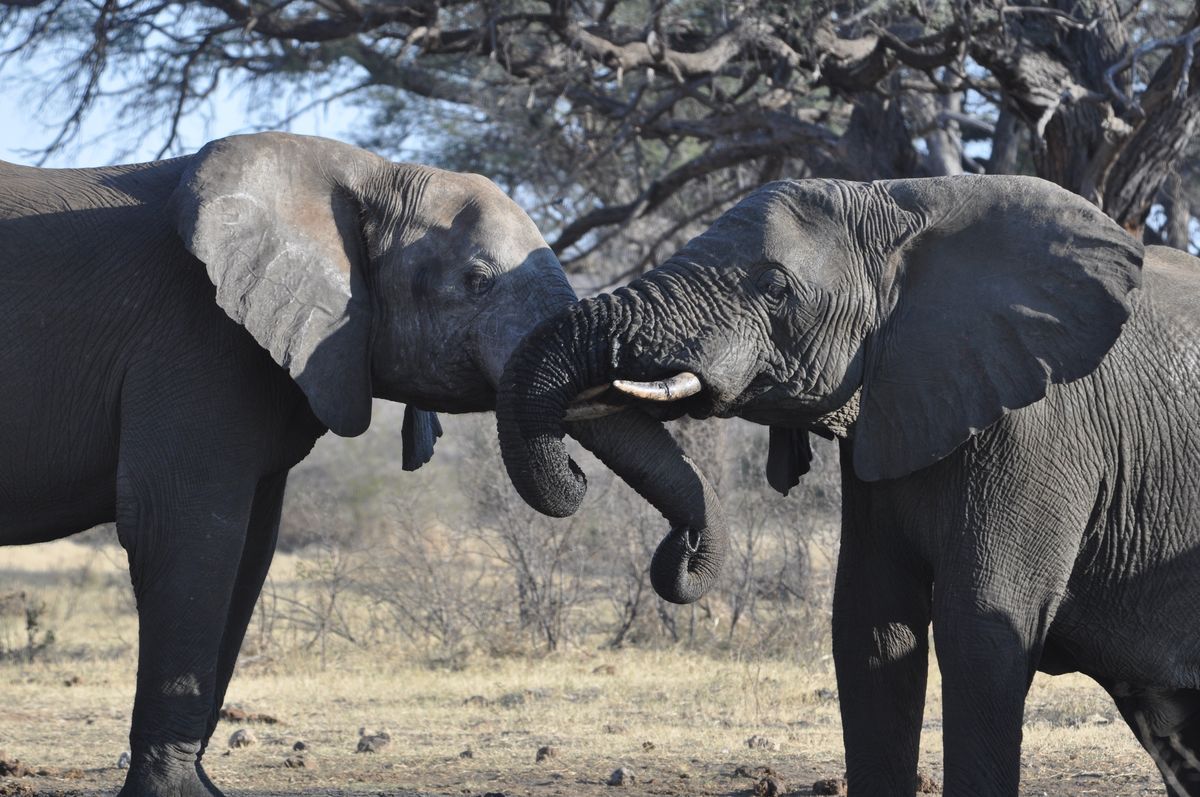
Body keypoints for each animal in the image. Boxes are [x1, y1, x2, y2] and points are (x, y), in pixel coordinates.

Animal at [0, 131, 727, 797]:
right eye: (475, 282)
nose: (683, 554)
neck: (363, 172)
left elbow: (251, 550)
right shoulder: (193, 337)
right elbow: (182, 530)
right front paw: (177, 795)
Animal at [496, 173, 1200, 795]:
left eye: (774, 287)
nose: (577, 475)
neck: (906, 201)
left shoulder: (1043, 431)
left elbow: (979, 630)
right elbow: (871, 630)